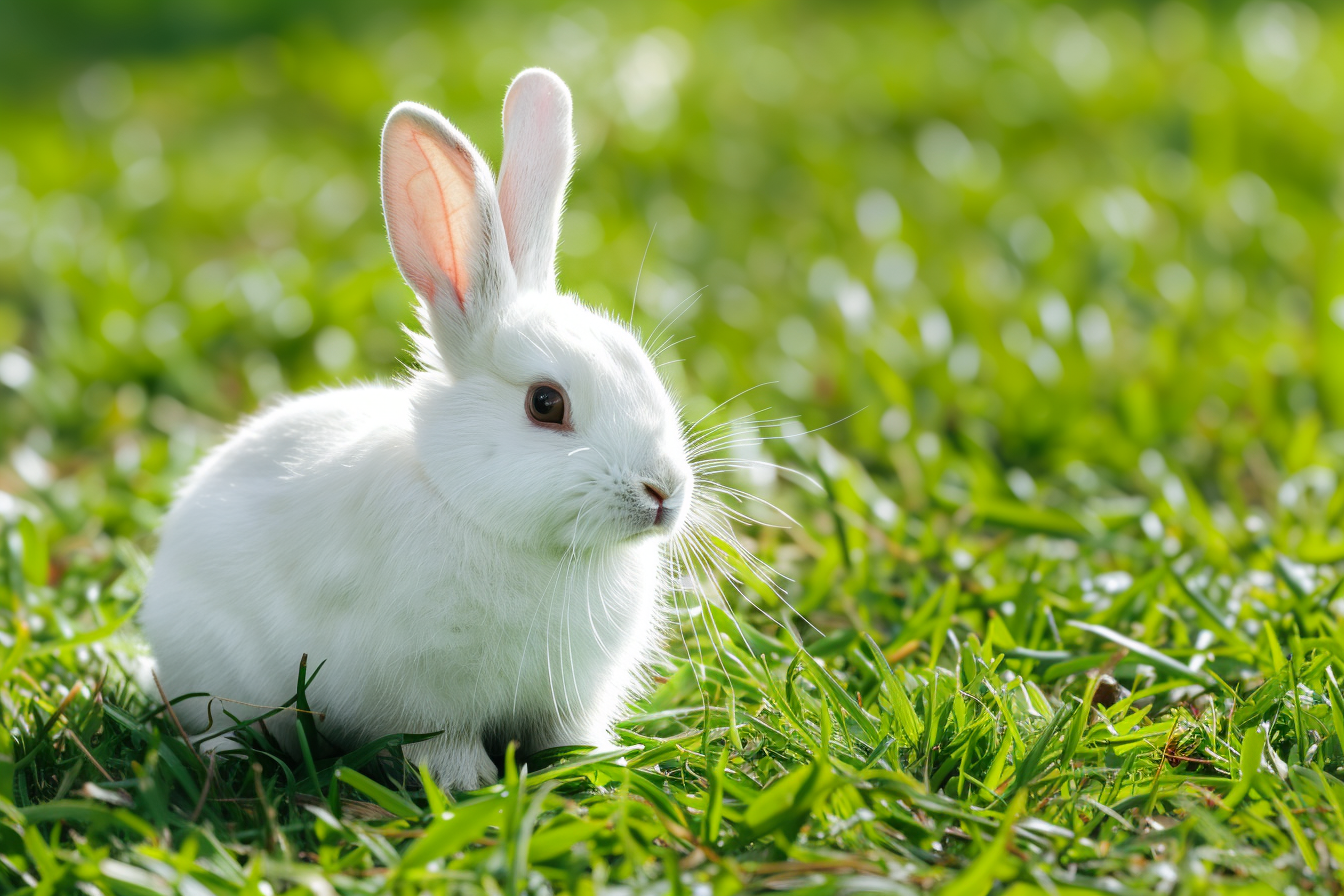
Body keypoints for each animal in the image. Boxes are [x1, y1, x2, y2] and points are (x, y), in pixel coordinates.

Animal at [138, 68, 695, 790]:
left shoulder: (567, 699)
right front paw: (469, 786)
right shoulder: (422, 701)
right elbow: (444, 746)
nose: (664, 493)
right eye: (546, 404)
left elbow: (565, 736)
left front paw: (602, 763)